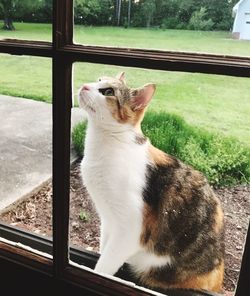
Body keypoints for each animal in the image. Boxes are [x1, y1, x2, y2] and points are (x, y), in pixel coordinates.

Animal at [78, 73, 225, 292]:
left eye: (108, 92)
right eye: (98, 80)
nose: (84, 86)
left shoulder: (130, 229)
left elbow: (104, 266)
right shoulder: (108, 220)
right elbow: (104, 249)